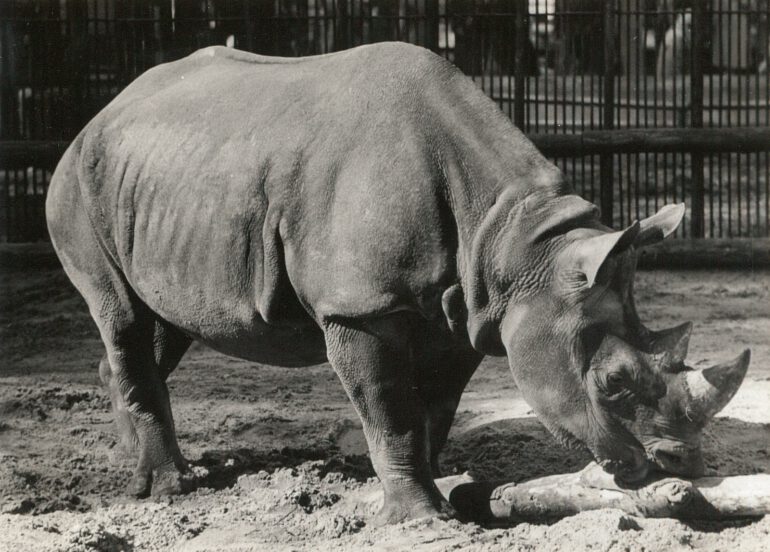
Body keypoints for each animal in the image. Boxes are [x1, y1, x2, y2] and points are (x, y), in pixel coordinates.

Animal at [46, 42, 749, 525]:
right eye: (613, 382)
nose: (685, 464)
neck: (517, 242)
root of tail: (101, 112)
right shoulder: (360, 308)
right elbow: (389, 406)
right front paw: (419, 517)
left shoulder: (472, 309)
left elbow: (434, 404)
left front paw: (446, 485)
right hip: (78, 179)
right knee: (123, 317)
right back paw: (169, 490)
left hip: (163, 184)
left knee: (160, 328)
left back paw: (133, 466)